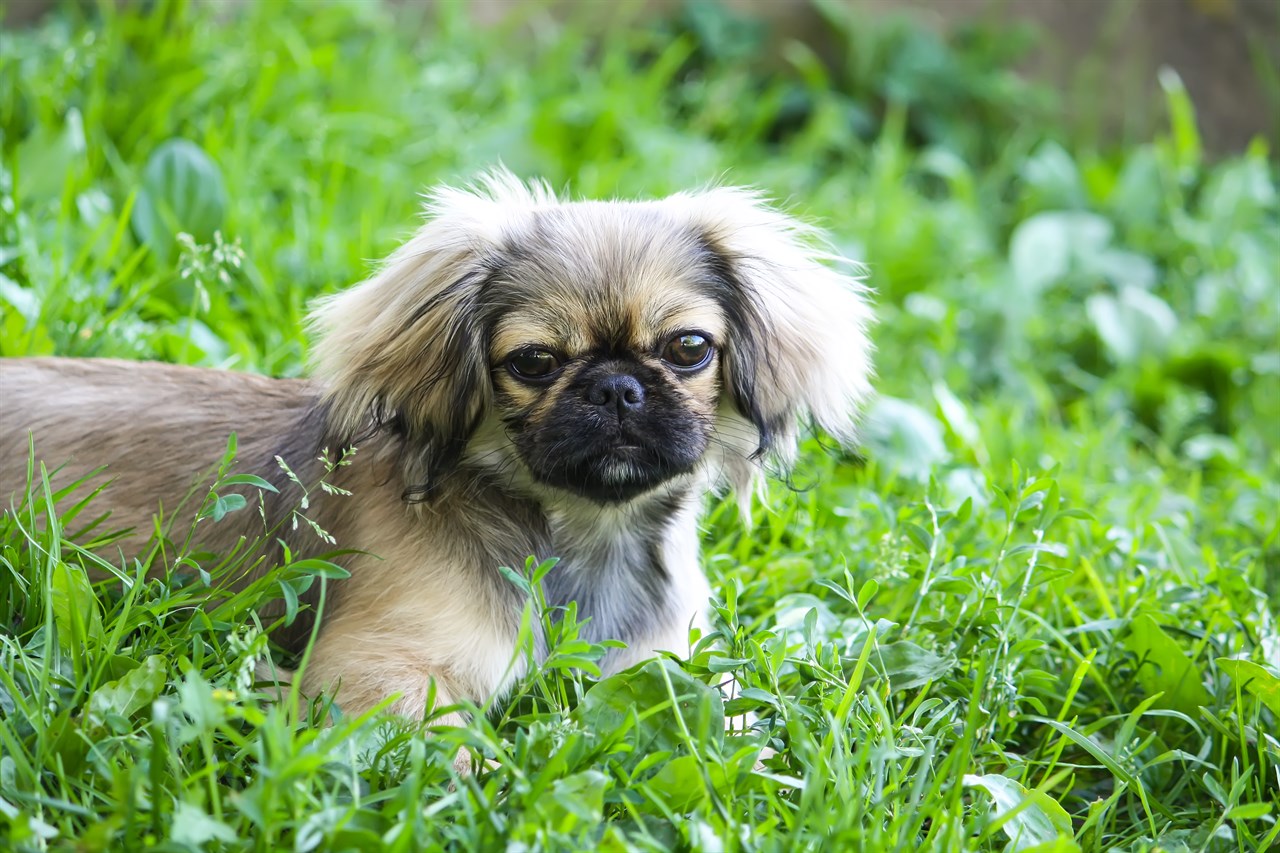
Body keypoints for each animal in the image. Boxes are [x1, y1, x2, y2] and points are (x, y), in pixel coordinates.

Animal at [0, 169, 870, 722]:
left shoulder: (666, 666)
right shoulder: (375, 672)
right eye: (534, 361)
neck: (583, 540)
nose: (617, 388)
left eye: (689, 348)